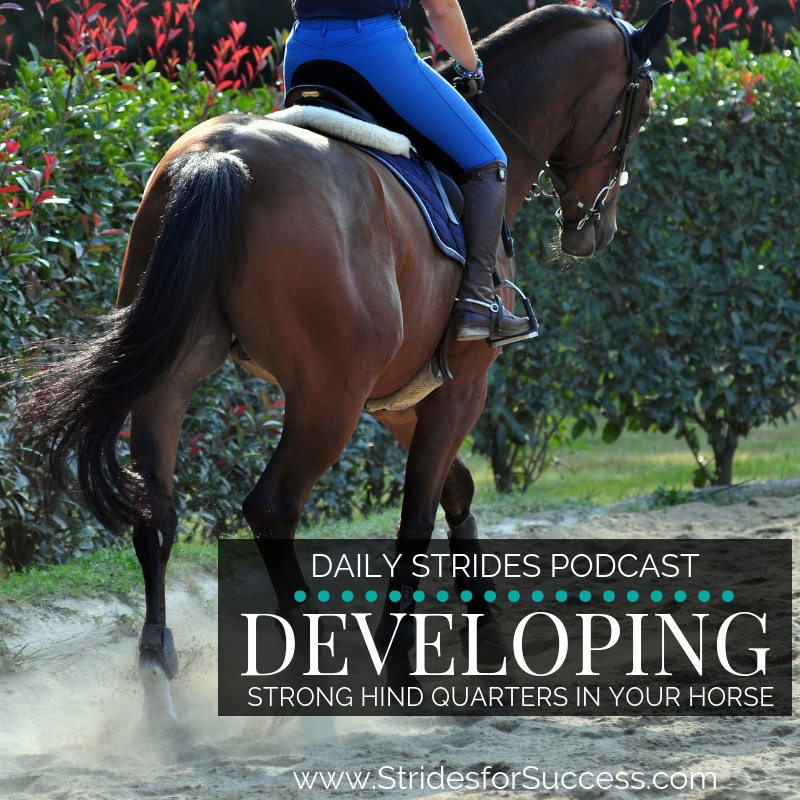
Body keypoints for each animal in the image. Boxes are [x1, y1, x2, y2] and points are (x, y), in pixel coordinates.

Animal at [17, 1, 671, 718]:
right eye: (638, 109)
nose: (596, 230)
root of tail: (220, 158)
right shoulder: (460, 385)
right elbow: (416, 514)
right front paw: (400, 661)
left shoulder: (399, 397)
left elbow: (456, 489)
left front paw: (490, 640)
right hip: (328, 398)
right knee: (272, 507)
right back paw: (313, 673)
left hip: (175, 375)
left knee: (155, 512)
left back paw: (160, 679)